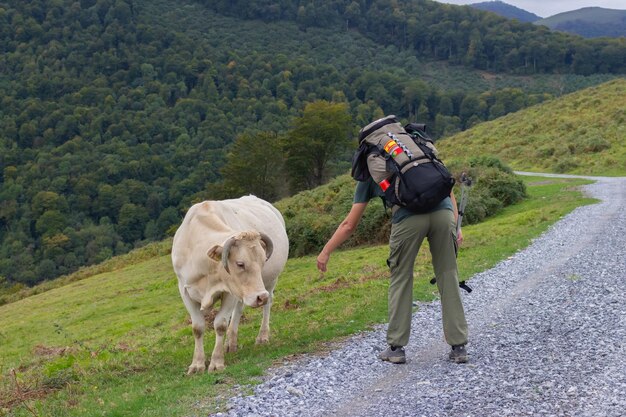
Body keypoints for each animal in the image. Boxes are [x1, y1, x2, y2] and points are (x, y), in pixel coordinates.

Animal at [171, 197, 288, 372]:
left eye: (263, 261)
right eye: (240, 264)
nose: (261, 297)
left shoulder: (230, 292)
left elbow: (220, 324)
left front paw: (216, 362)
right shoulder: (184, 290)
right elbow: (197, 327)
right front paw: (197, 364)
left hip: (269, 282)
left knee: (267, 306)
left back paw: (262, 336)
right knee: (239, 310)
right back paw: (230, 343)